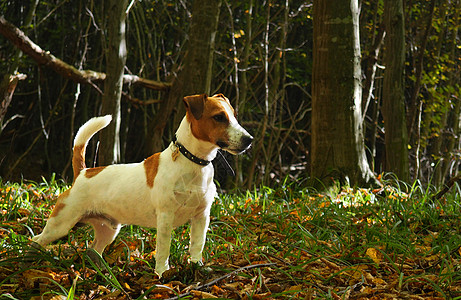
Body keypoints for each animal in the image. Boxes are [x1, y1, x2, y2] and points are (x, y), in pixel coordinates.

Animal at [31, 94, 252, 276]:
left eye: (233, 116)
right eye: (219, 117)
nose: (249, 139)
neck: (193, 162)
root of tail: (83, 173)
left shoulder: (201, 216)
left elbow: (197, 245)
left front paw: (197, 266)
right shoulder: (165, 217)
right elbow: (163, 249)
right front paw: (162, 273)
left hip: (108, 230)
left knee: (93, 250)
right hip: (60, 225)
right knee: (36, 241)